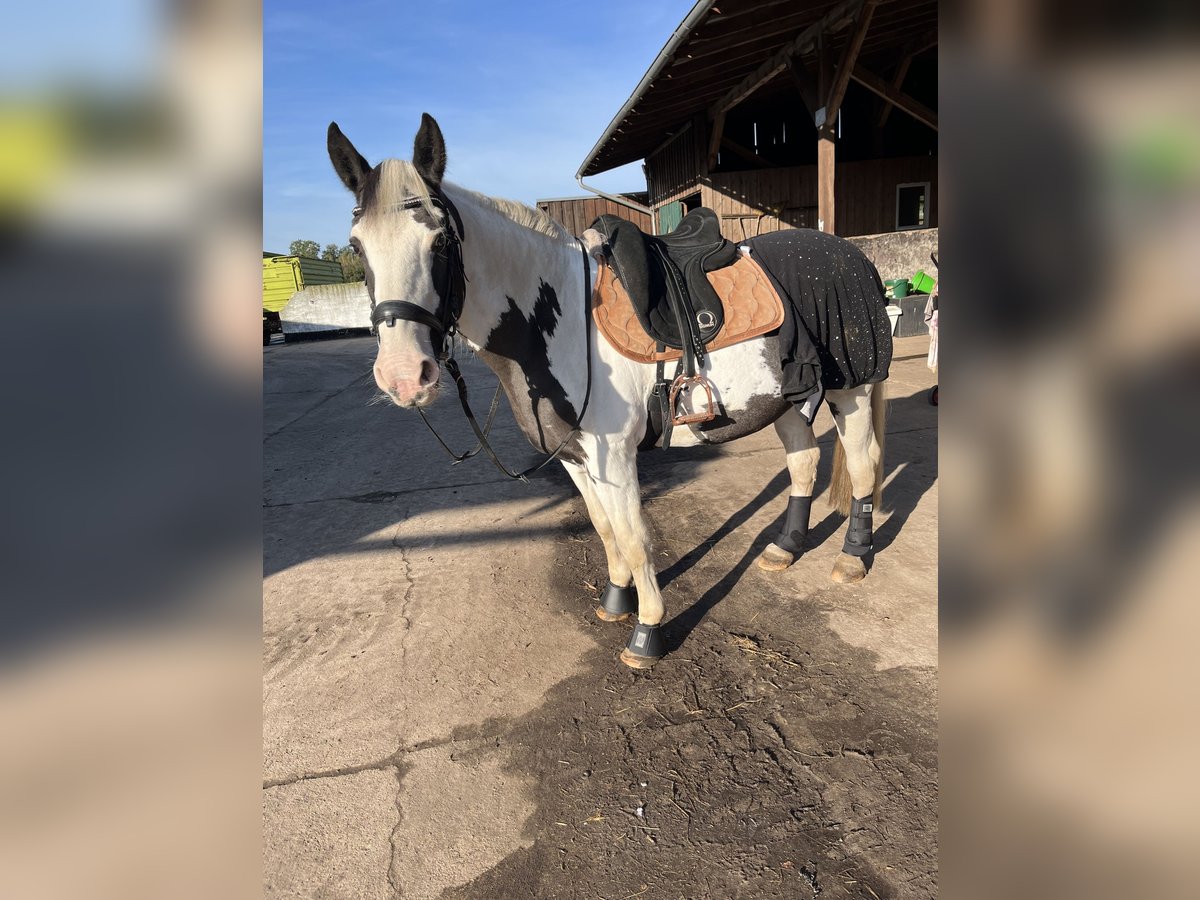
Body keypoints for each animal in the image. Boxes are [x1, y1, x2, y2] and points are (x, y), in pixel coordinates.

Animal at [328, 114, 892, 672]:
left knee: (863, 463)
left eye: (441, 242)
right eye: (356, 246)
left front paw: (648, 632)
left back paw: (852, 557)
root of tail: (852, 254)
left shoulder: (615, 456)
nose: (404, 375)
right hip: (785, 398)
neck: (561, 321)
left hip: (852, 389)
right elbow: (605, 529)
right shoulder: (576, 458)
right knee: (804, 463)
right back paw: (784, 548)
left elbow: (636, 538)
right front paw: (616, 601)